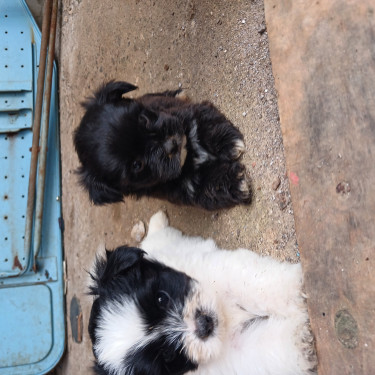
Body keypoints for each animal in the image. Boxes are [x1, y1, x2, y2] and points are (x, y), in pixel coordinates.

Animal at [74, 81, 251, 210]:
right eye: (137, 165)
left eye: (143, 121)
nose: (170, 145)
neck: (188, 155)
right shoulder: (189, 188)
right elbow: (210, 186)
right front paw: (236, 183)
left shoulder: (187, 114)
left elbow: (205, 124)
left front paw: (228, 141)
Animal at [88, 212, 318, 375]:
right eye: (167, 355)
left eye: (161, 298)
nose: (203, 324)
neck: (225, 320)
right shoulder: (234, 357)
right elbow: (263, 350)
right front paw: (299, 342)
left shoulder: (217, 271)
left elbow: (251, 281)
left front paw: (294, 290)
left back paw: (158, 222)